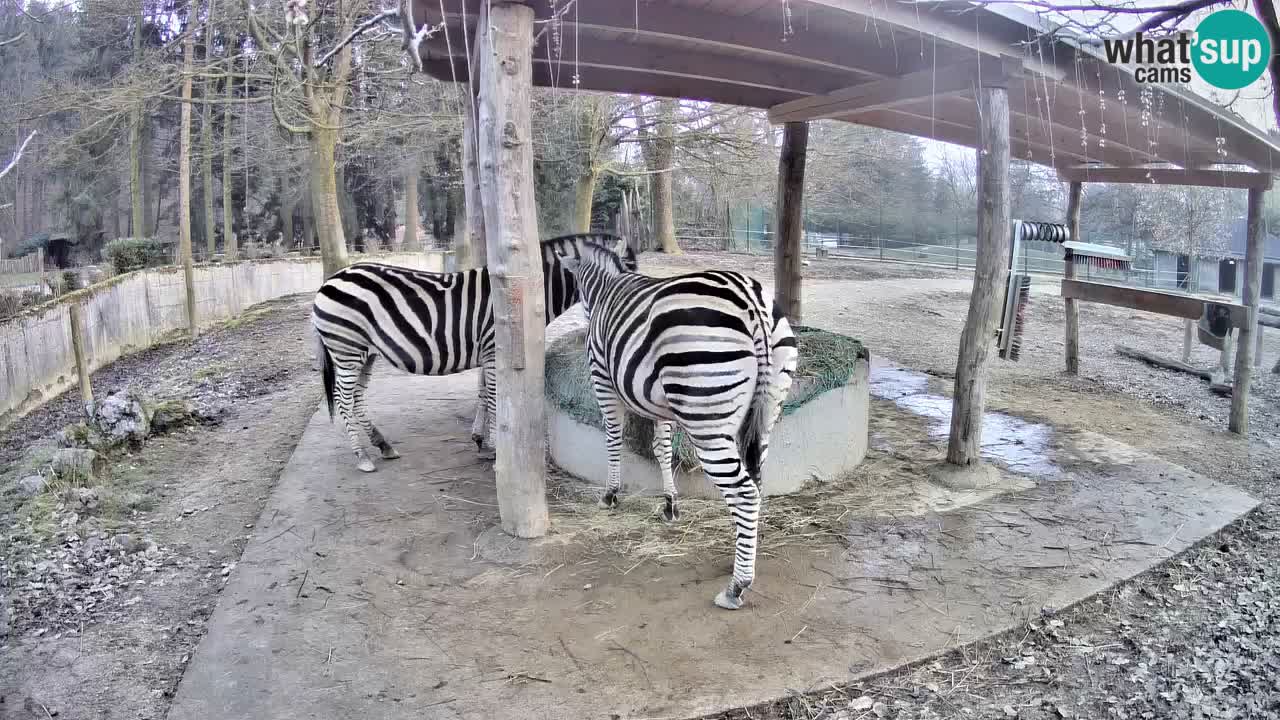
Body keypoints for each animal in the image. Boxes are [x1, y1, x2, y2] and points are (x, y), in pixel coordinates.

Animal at [308, 233, 629, 474]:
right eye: (614, 282)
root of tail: (330, 280)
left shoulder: (488, 353)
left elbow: (483, 392)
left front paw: (481, 441)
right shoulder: (494, 350)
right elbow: (494, 398)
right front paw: (496, 449)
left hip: (365, 353)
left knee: (356, 397)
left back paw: (382, 445)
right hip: (346, 348)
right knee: (343, 399)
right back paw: (362, 456)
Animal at [552, 238, 793, 607]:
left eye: (576, 289)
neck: (607, 286)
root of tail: (751, 301)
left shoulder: (602, 379)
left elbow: (613, 439)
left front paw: (610, 494)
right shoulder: (659, 403)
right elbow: (662, 448)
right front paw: (669, 504)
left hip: (706, 420)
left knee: (744, 492)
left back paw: (737, 586)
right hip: (766, 412)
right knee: (756, 481)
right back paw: (742, 555)